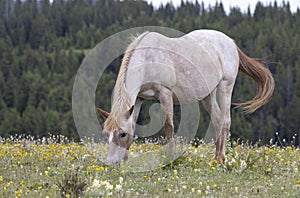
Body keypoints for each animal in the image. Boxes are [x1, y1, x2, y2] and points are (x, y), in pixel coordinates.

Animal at [98, 29, 274, 165]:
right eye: (107, 134)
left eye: (122, 134)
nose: (111, 162)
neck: (148, 59)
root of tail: (230, 42)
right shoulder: (139, 99)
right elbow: (134, 125)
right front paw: (126, 161)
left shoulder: (165, 93)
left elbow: (168, 126)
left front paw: (171, 158)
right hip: (208, 94)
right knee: (217, 120)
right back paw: (216, 157)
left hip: (225, 86)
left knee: (225, 121)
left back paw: (221, 159)